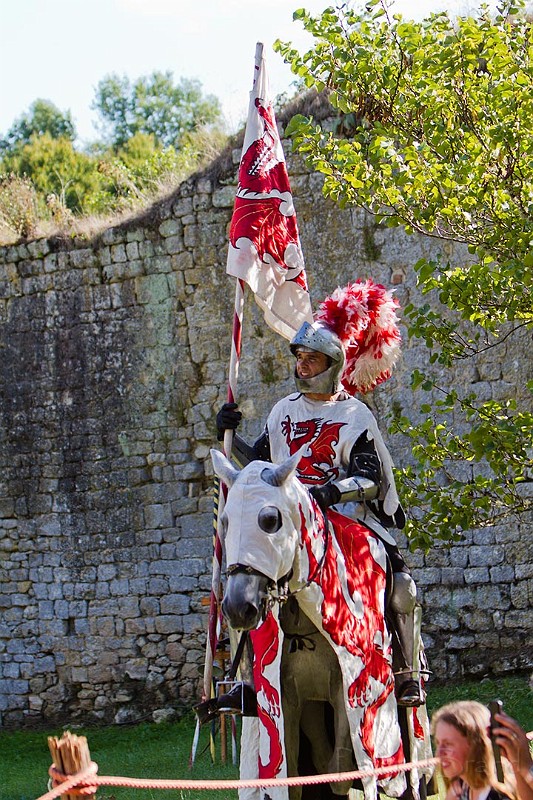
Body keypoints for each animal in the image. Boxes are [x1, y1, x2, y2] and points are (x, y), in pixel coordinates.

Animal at [210, 446, 430, 800]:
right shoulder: (284, 702)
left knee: (403, 594)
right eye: (226, 522)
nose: (238, 607)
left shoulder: (347, 691)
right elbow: (294, 775)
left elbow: (340, 770)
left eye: (270, 520)